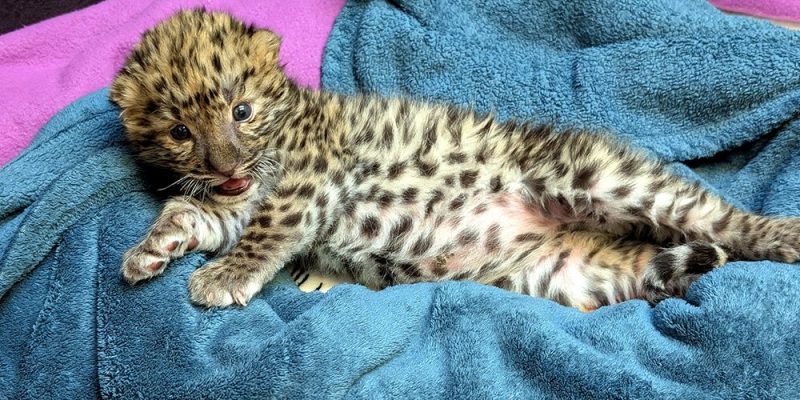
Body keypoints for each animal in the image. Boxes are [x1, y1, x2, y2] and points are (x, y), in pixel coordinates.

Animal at [110, 9, 800, 310]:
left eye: (242, 111)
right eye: (179, 131)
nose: (225, 165)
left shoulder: (308, 181)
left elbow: (266, 230)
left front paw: (223, 277)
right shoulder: (232, 202)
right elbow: (192, 212)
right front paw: (151, 249)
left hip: (602, 176)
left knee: (718, 218)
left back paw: (784, 236)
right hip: (564, 275)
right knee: (661, 269)